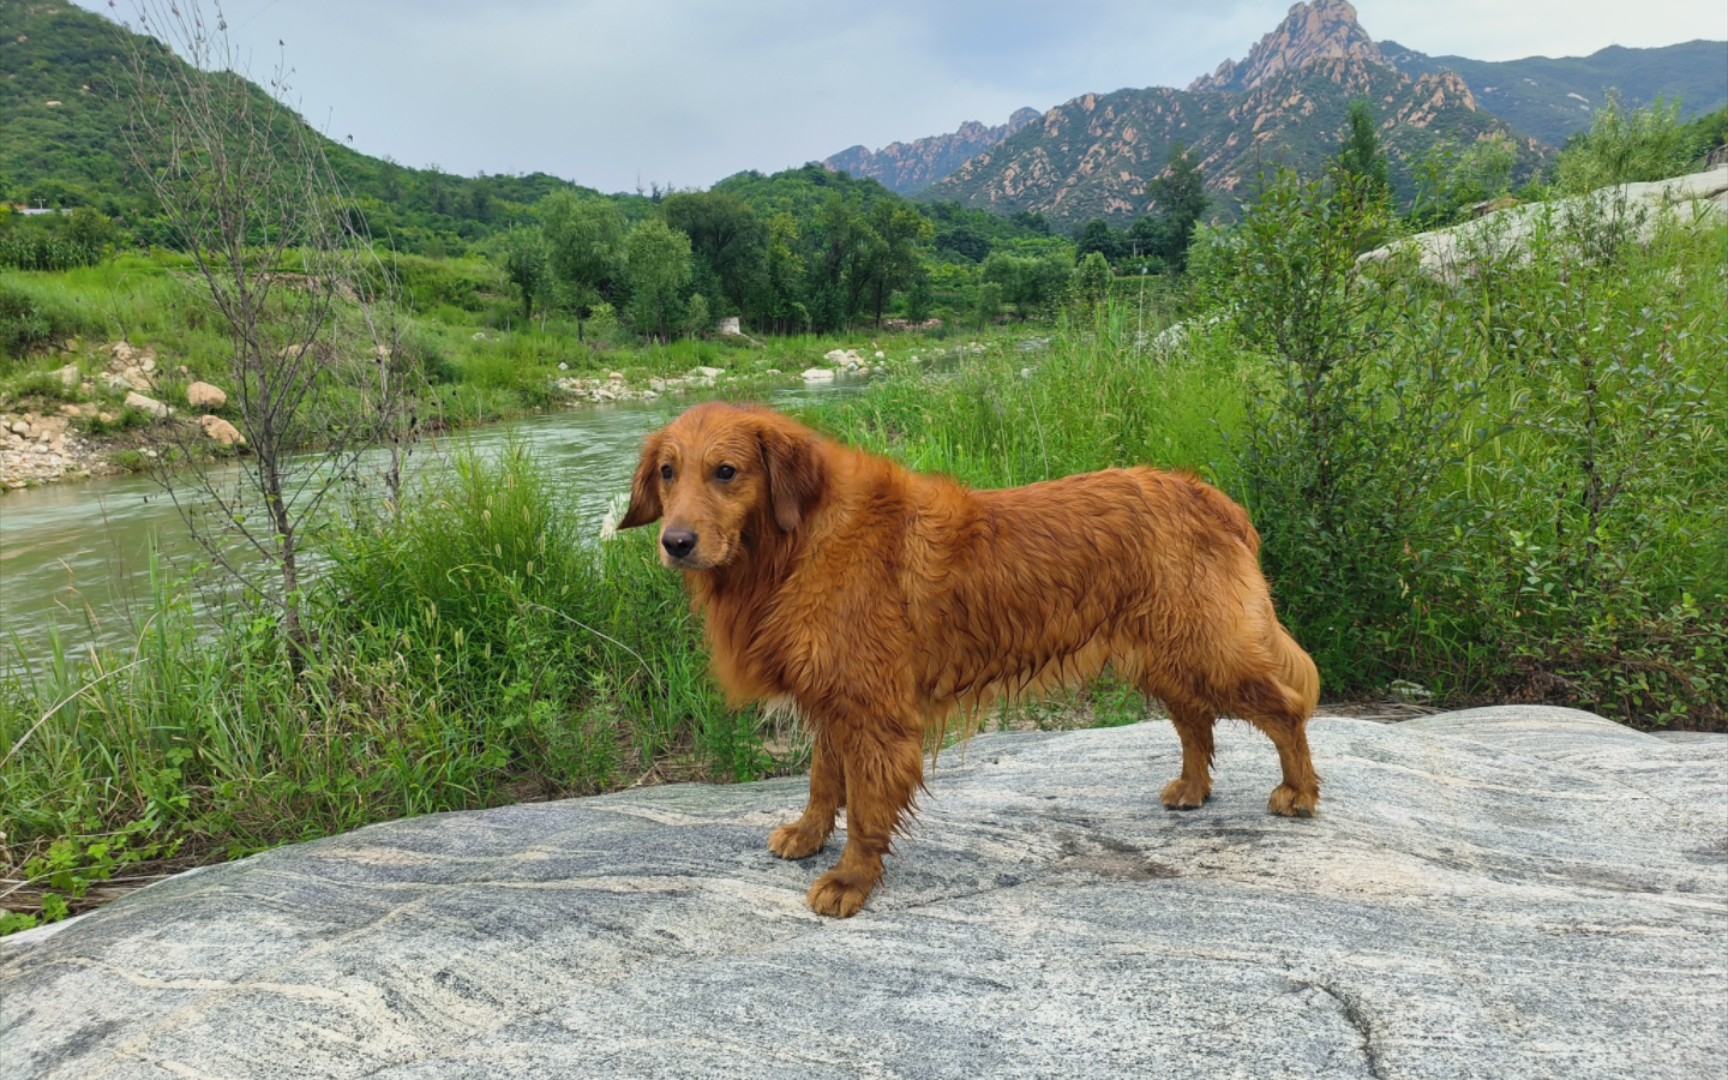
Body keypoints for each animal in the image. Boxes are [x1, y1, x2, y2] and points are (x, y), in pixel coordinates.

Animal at [622, 400, 1320, 912]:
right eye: (667, 473)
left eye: (726, 471)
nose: (675, 543)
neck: (793, 545)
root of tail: (1211, 495)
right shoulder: (835, 698)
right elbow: (824, 781)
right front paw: (809, 835)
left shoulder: (874, 712)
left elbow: (866, 806)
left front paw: (850, 881)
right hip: (1165, 655)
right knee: (1195, 720)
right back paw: (1195, 789)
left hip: (1208, 649)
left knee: (1286, 709)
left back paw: (1298, 792)